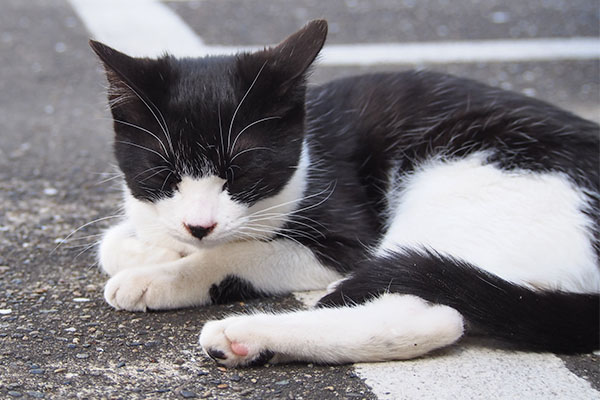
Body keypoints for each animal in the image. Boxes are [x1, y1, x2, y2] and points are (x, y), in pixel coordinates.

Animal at [89, 20, 600, 368]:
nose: (200, 225)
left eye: (241, 174)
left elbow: (235, 254)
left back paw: (246, 334)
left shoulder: (346, 236)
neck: (307, 158)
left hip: (465, 171)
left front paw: (159, 276)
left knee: (427, 316)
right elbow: (112, 242)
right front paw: (156, 251)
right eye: (164, 174)